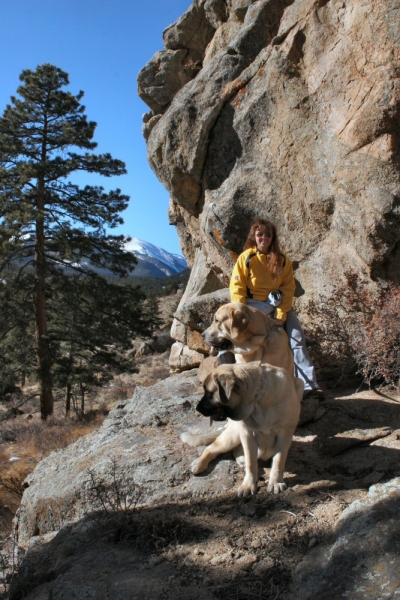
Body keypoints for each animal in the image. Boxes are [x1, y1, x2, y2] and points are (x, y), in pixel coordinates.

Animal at [181, 360, 304, 496]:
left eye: (209, 393)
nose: (197, 409)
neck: (257, 399)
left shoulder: (284, 435)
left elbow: (278, 461)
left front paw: (275, 482)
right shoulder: (247, 434)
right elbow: (251, 462)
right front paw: (248, 485)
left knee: (237, 452)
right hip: (232, 437)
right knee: (211, 449)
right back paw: (199, 463)